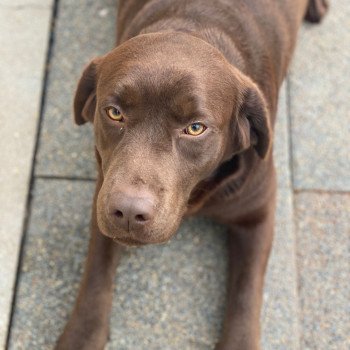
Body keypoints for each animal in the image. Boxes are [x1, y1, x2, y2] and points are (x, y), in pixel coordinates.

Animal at [55, 0, 328, 348]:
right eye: (114, 113)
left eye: (195, 128)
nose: (128, 211)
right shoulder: (105, 189)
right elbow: (96, 267)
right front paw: (82, 334)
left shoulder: (258, 214)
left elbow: (245, 293)